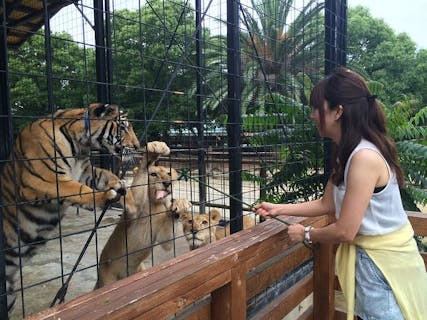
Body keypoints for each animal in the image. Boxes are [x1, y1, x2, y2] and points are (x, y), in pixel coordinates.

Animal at [0, 102, 140, 310]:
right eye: (123, 128)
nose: (138, 146)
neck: (80, 144)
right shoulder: (44, 178)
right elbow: (77, 190)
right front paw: (106, 196)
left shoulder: (86, 171)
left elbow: (107, 174)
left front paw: (128, 200)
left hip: (10, 295)